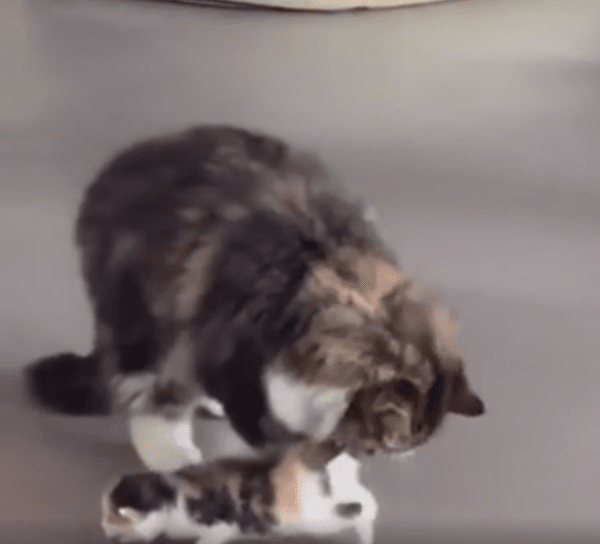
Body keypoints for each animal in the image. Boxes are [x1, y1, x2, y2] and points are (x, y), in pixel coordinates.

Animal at [25, 125, 485, 471]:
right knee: (133, 375)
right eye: (391, 440)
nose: (369, 454)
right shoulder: (218, 342)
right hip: (136, 309)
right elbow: (191, 408)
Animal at [102, 441, 378, 544]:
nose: (106, 533)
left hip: (314, 517)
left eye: (111, 521)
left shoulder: (221, 524)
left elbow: (206, 539)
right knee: (366, 503)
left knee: (361, 509)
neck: (167, 494)